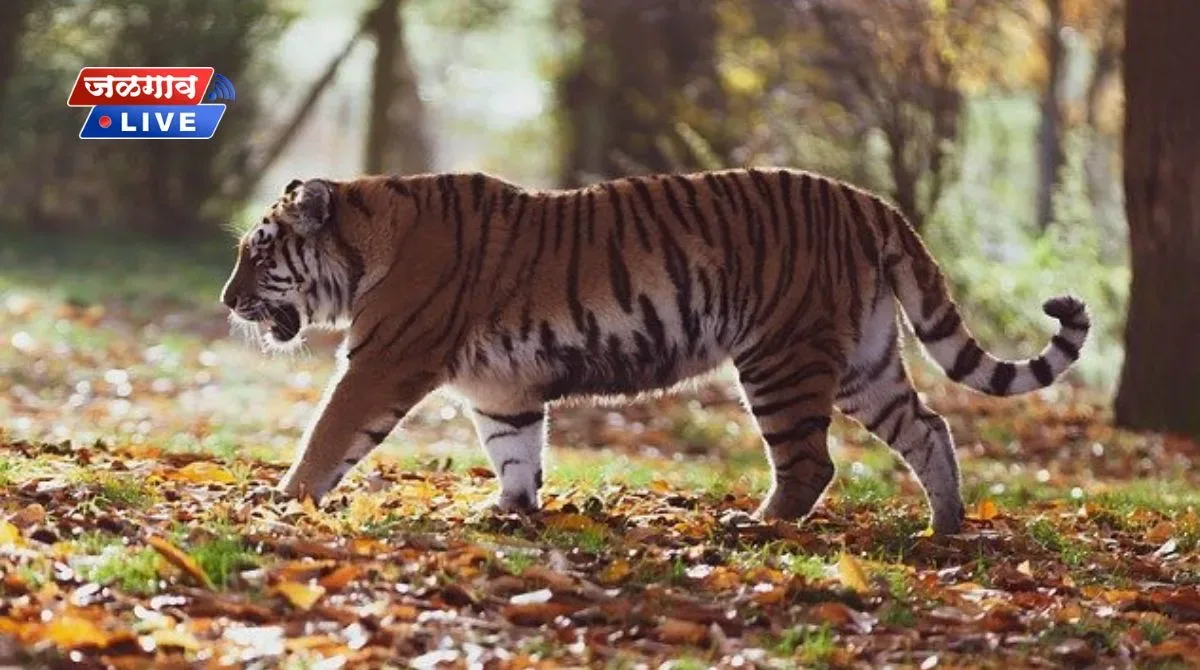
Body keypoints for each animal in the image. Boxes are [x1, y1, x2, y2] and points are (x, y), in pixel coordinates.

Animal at [220, 169, 1089, 535]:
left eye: (258, 254)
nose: (227, 302)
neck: (369, 238)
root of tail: (868, 201)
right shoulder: (502, 389)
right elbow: (515, 450)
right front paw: (508, 511)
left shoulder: (382, 362)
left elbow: (328, 433)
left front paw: (283, 499)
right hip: (863, 362)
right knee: (929, 428)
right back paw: (945, 528)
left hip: (781, 357)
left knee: (811, 463)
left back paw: (757, 526)